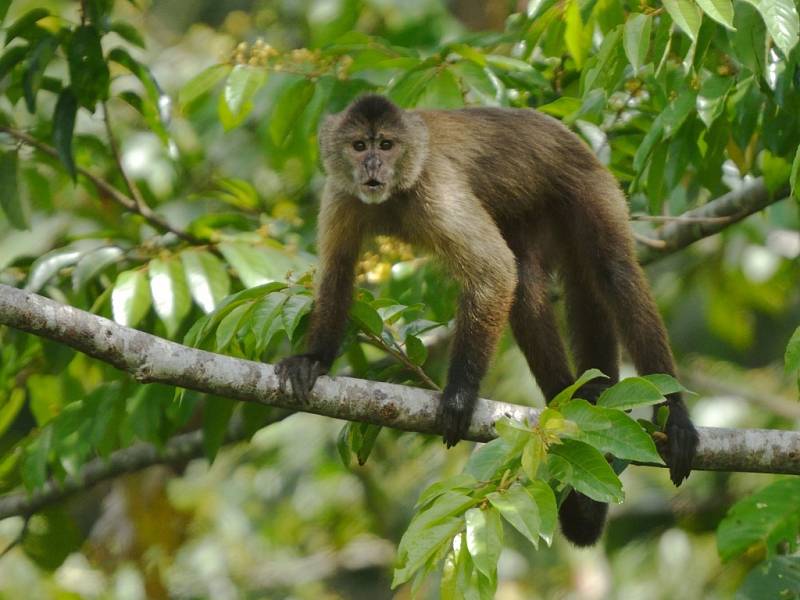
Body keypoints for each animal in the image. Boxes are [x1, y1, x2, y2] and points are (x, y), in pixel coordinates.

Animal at [272, 94, 696, 548]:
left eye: (385, 145)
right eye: (358, 146)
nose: (372, 165)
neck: (394, 195)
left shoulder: (434, 187)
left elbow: (493, 274)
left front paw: (460, 395)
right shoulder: (341, 193)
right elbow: (336, 273)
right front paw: (313, 360)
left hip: (585, 186)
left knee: (611, 271)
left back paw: (673, 415)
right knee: (527, 279)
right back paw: (568, 396)